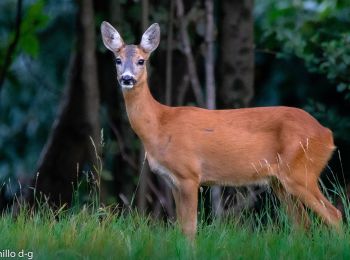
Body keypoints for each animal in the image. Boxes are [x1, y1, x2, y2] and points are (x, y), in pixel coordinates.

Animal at [100, 21, 342, 239]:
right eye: (117, 60)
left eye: (141, 61)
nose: (127, 78)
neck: (160, 125)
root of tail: (327, 134)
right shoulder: (173, 181)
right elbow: (181, 227)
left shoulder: (189, 174)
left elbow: (190, 229)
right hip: (280, 181)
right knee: (303, 223)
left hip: (301, 171)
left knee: (334, 214)